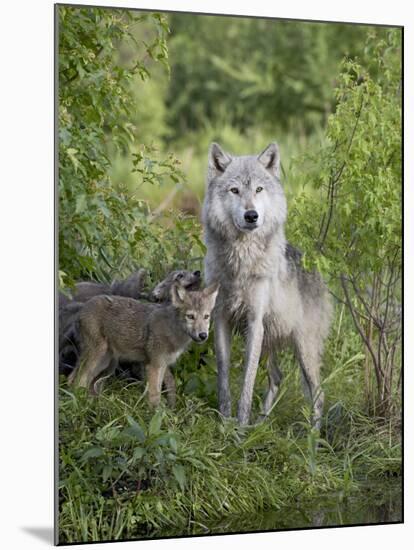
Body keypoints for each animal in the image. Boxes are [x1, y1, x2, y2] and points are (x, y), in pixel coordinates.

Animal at [68, 284, 218, 406]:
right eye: (190, 316)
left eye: (206, 317)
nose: (203, 335)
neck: (173, 331)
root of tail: (82, 308)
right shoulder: (154, 366)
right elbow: (155, 397)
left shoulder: (162, 366)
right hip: (97, 357)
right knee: (77, 381)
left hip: (104, 363)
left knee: (76, 380)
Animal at [202, 144, 332, 430]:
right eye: (235, 190)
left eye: (259, 189)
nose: (251, 215)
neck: (241, 262)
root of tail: (316, 269)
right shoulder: (221, 318)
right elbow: (224, 375)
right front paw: (224, 421)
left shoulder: (254, 323)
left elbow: (247, 383)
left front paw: (239, 428)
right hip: (271, 341)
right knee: (277, 377)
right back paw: (261, 424)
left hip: (303, 349)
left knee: (318, 394)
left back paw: (312, 438)